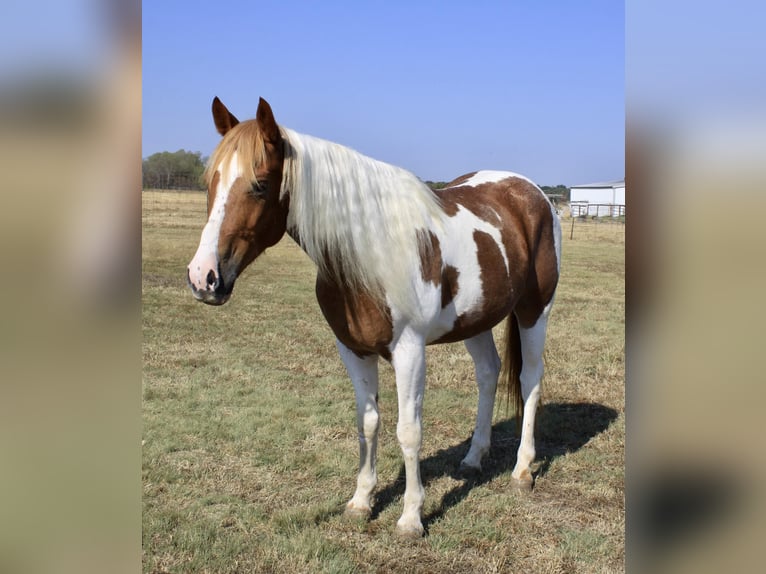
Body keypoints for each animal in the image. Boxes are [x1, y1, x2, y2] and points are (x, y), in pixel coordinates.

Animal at [186, 95, 560, 540]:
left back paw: (522, 471)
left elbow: (408, 431)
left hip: (534, 311)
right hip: (477, 319)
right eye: (210, 184)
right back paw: (473, 458)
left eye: (259, 185)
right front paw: (361, 501)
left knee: (529, 379)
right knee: (488, 374)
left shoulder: (410, 350)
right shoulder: (352, 349)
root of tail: (531, 193)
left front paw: (411, 517)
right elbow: (367, 423)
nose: (203, 277)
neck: (369, 254)